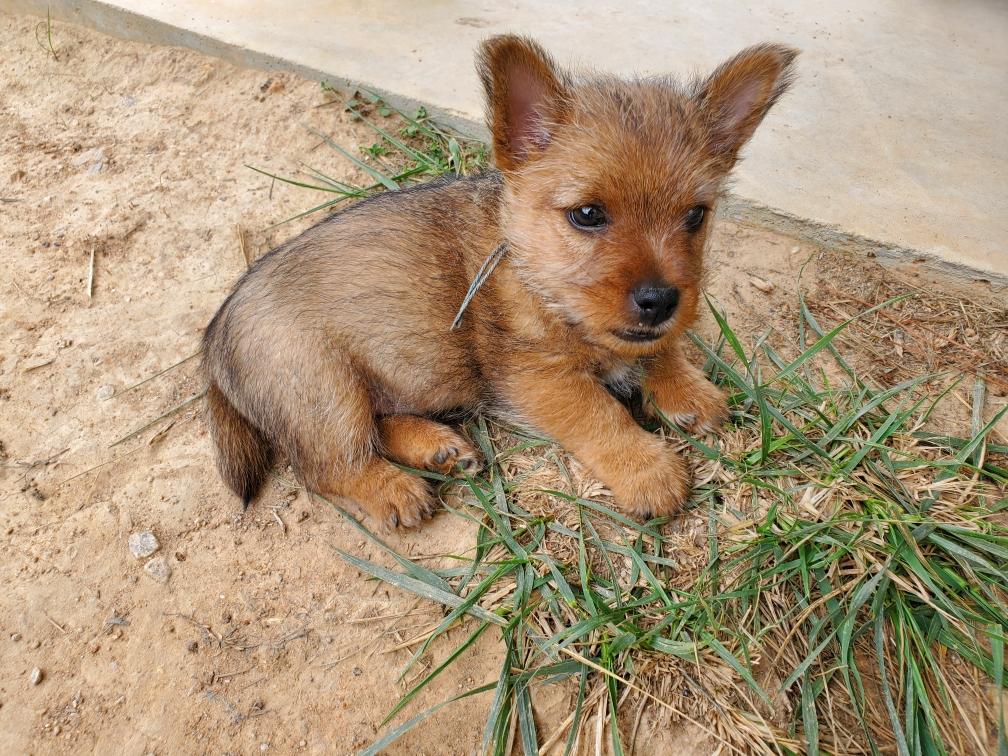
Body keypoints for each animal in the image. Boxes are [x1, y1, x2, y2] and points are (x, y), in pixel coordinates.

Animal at [202, 35, 796, 529]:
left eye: (696, 216)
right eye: (587, 214)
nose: (661, 300)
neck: (530, 274)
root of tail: (215, 335)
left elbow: (659, 349)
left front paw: (686, 386)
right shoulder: (537, 378)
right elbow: (600, 413)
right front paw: (648, 469)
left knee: (377, 424)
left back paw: (437, 446)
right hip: (321, 388)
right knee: (327, 465)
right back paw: (394, 489)